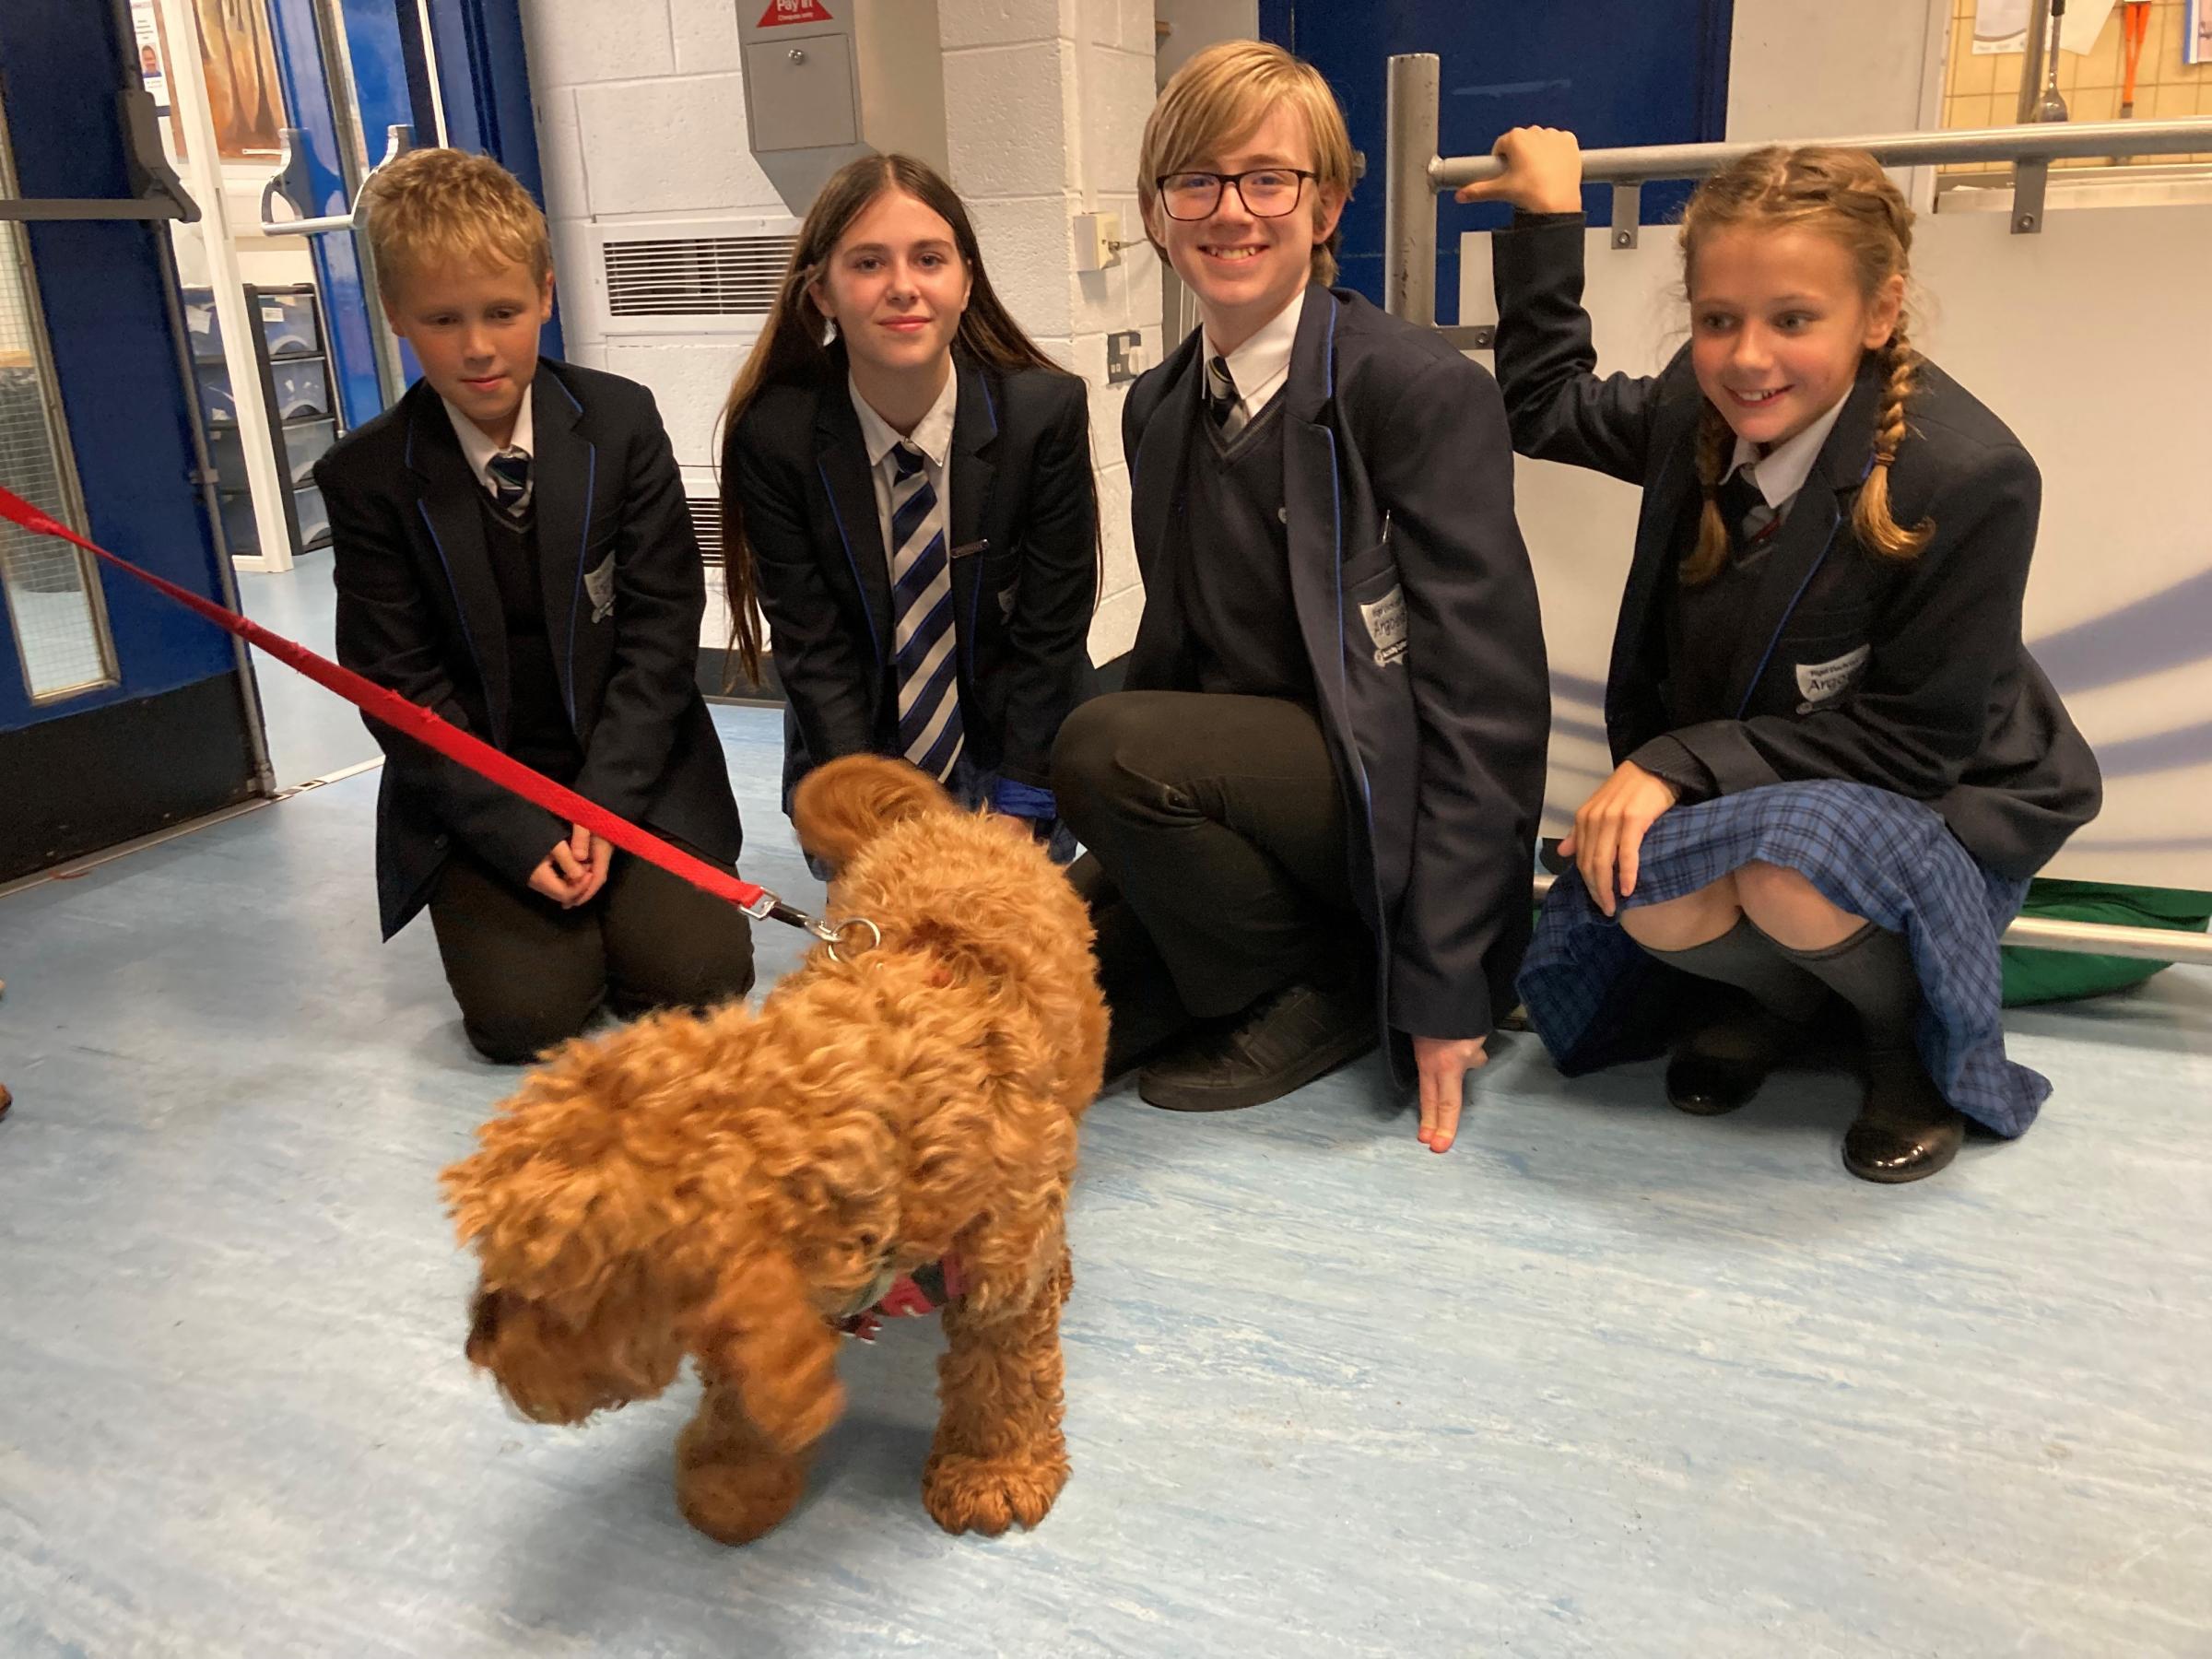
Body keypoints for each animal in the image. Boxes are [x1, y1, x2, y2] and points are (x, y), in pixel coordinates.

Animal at [444, 760, 1106, 1539]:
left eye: (546, 1297)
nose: (477, 1351)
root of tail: (950, 821)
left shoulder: (999, 1285)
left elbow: (1001, 1382)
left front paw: (991, 1469)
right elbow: (743, 1393)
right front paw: (735, 1480)